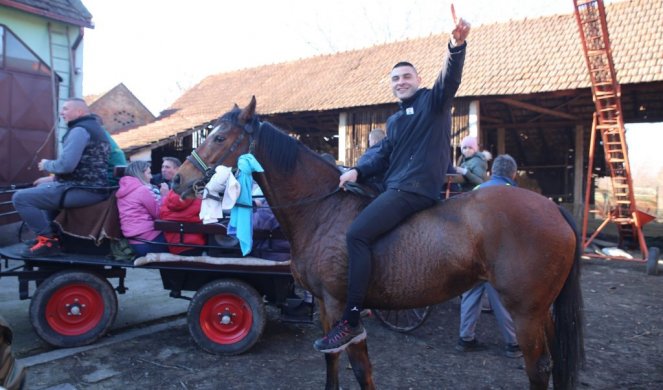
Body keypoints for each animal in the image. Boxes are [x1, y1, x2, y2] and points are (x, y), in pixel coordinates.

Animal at [174, 96, 584, 386]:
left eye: (219, 137)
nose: (179, 178)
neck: (324, 209)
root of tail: (553, 208)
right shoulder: (326, 307)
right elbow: (338, 363)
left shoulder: (342, 307)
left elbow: (358, 368)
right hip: (540, 311)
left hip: (526, 312)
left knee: (538, 369)